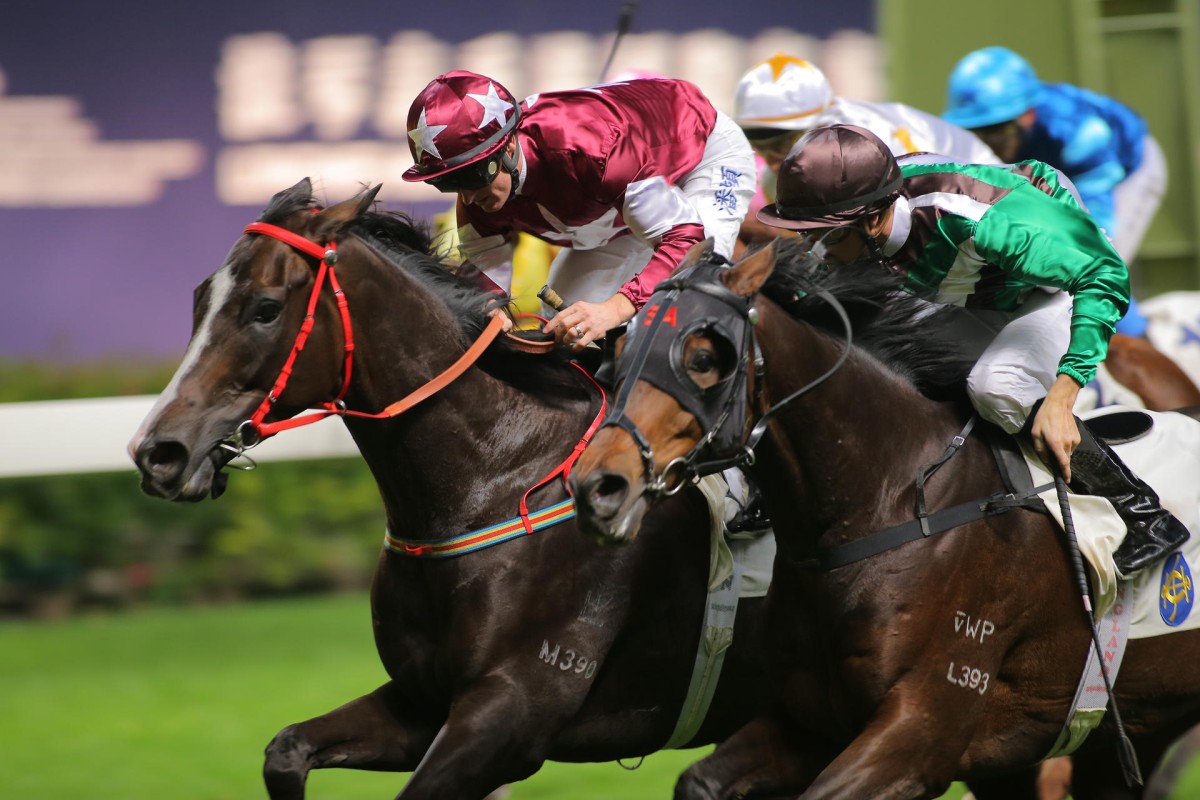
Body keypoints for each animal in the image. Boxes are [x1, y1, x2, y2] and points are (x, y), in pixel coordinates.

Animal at [131, 178, 777, 796]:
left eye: (265, 308)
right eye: (199, 299)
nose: (156, 451)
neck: (495, 476)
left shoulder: (516, 711)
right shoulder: (422, 699)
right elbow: (285, 752)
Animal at [566, 239, 1200, 800]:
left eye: (700, 359)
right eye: (619, 357)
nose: (598, 485)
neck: (889, 501)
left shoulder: (921, 731)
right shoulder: (811, 719)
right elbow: (701, 782)